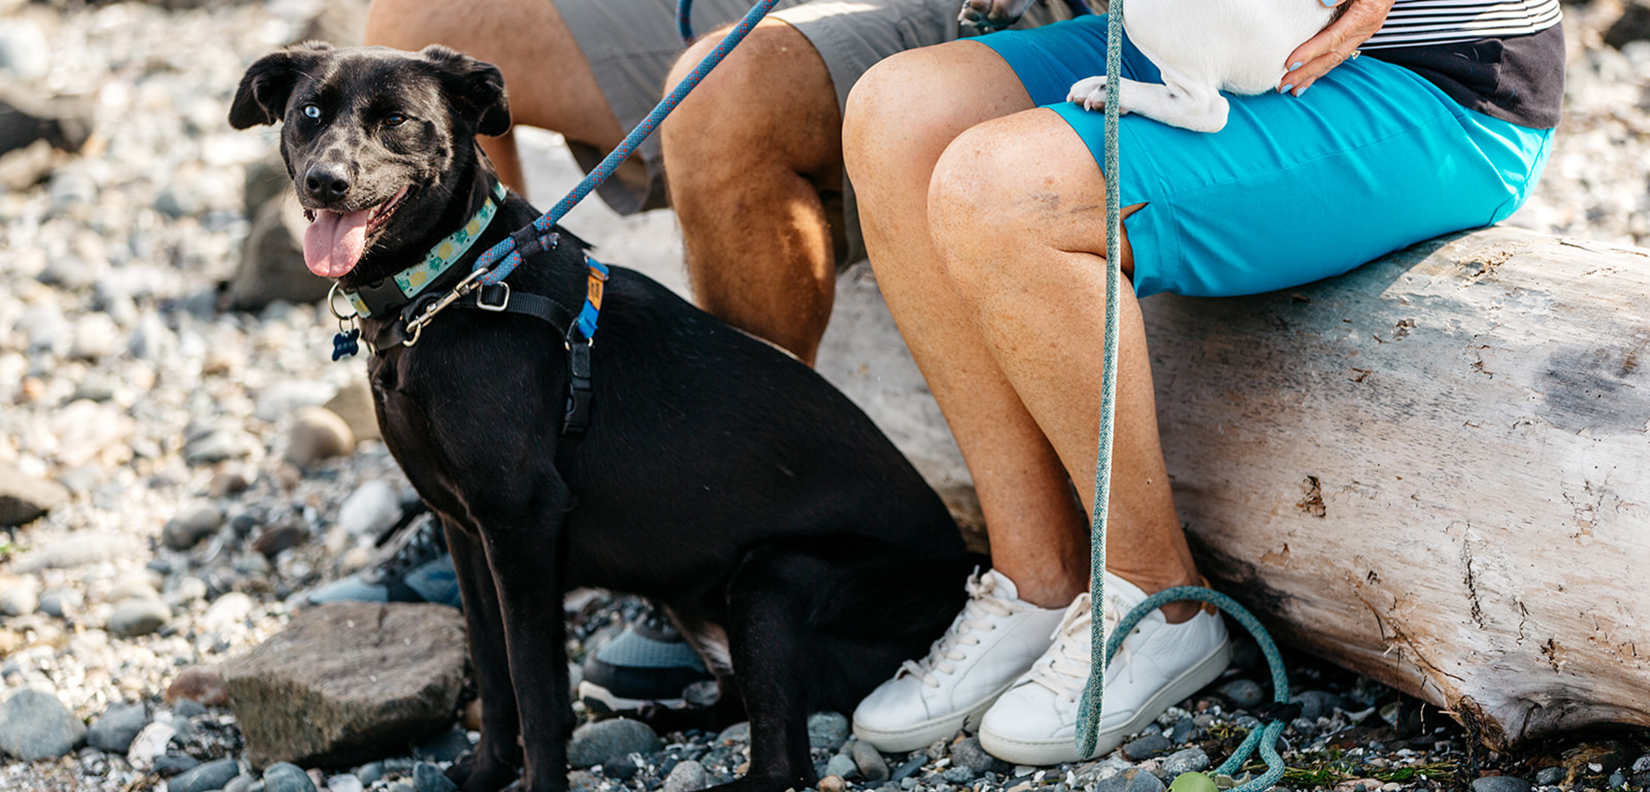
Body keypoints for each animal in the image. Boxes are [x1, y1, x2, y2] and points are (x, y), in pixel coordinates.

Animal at [232, 43, 976, 792]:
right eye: (310, 112)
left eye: (396, 120)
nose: (327, 182)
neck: (453, 287)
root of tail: (967, 569)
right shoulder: (464, 530)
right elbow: (493, 670)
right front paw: (485, 770)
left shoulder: (521, 525)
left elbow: (534, 687)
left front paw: (538, 779)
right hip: (696, 593)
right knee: (736, 702)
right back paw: (663, 716)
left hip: (773, 577)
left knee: (781, 759)